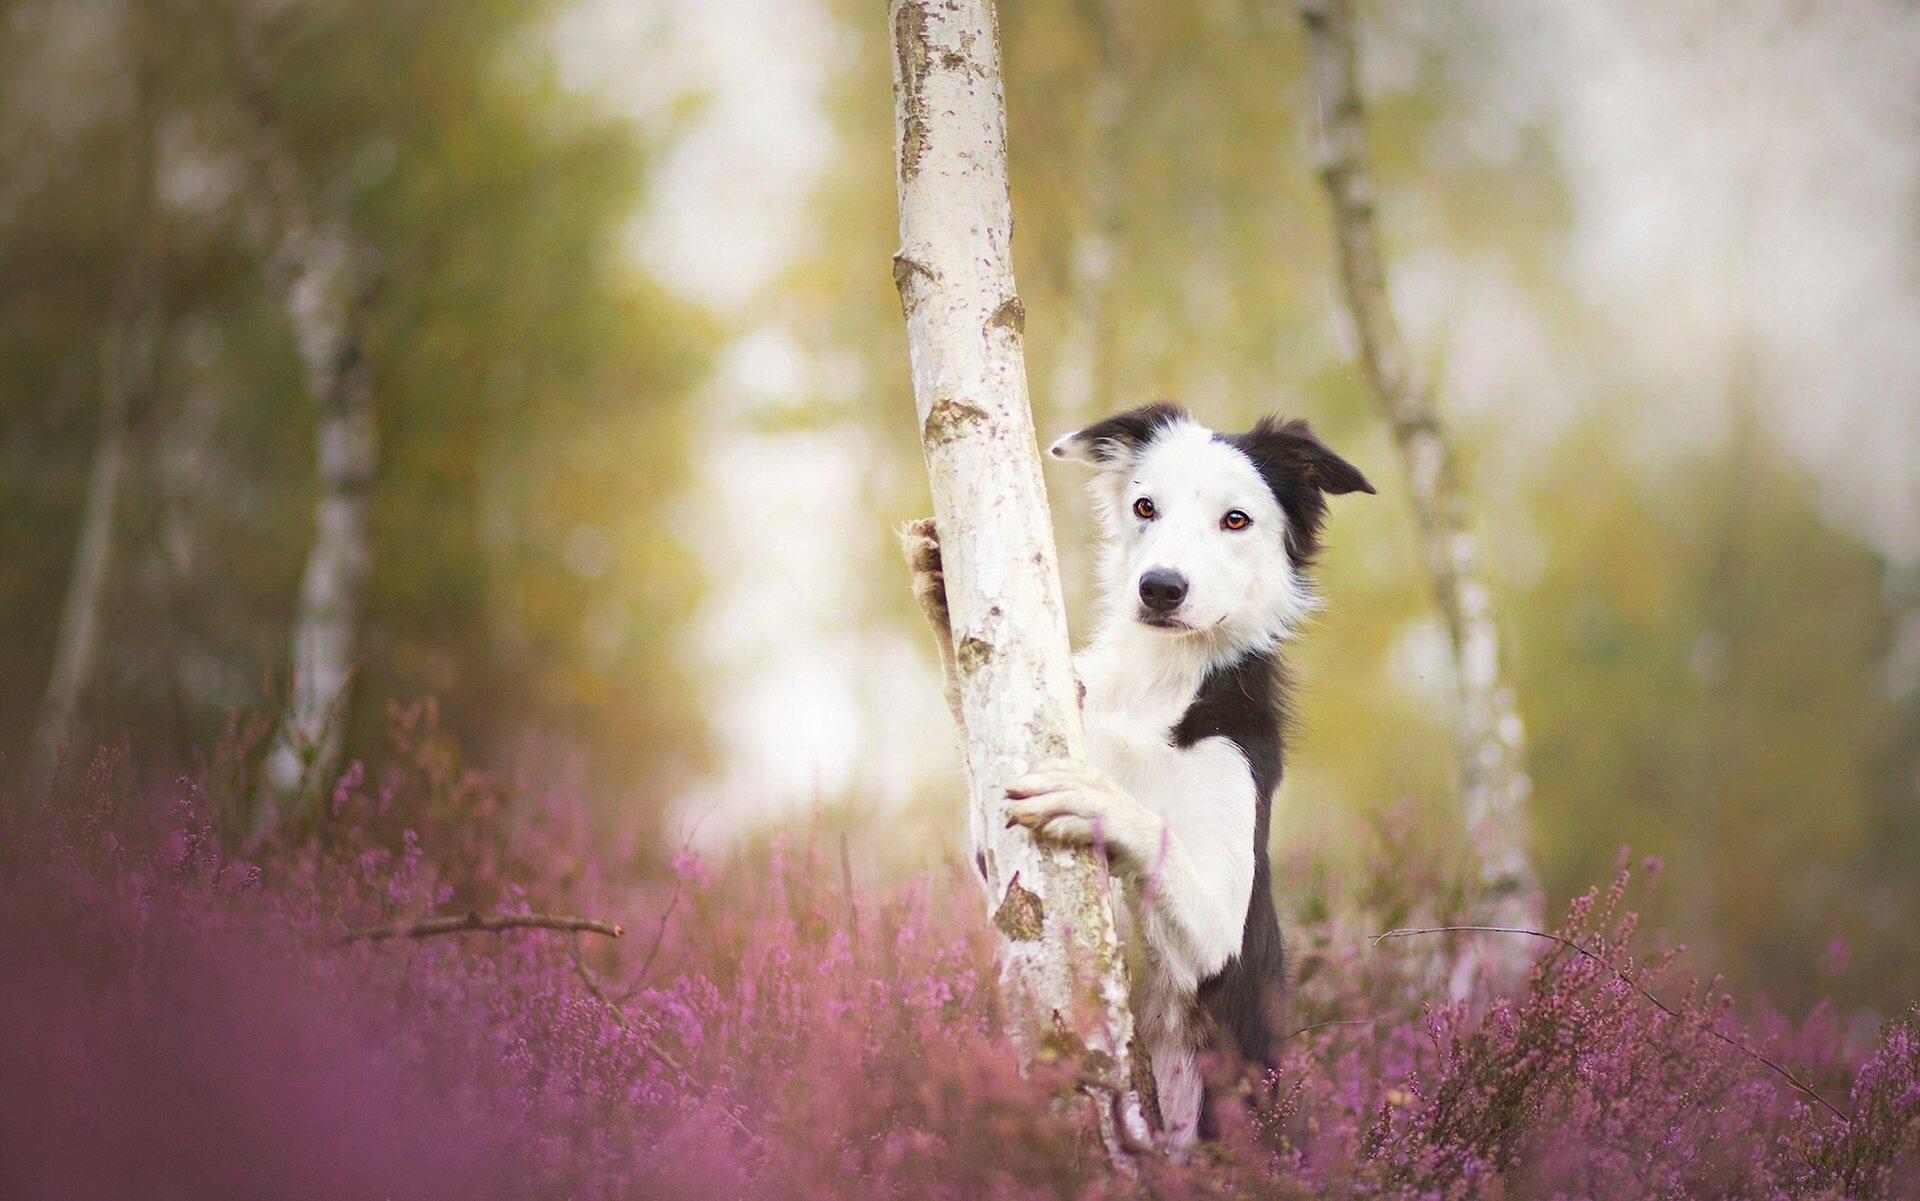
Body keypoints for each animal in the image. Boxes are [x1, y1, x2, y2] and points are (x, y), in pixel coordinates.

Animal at [906, 399, 1374, 1143]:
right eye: (1144, 506)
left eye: (1236, 519)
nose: (1159, 587)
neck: (1157, 681)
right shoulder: (1002, 849)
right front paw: (945, 595)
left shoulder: (1222, 919)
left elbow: (1161, 840)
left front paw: (1095, 801)